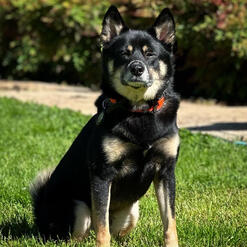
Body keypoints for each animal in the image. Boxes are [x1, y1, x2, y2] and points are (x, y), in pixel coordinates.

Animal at [30, 5, 179, 247]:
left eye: (150, 54)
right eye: (124, 54)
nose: (137, 68)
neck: (137, 110)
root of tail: (39, 214)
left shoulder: (166, 171)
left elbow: (170, 222)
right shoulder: (102, 173)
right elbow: (102, 228)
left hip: (132, 211)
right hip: (79, 210)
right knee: (80, 236)